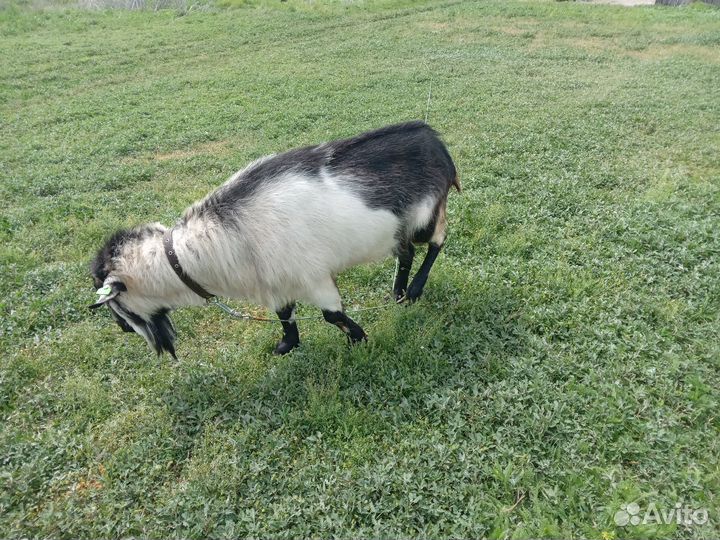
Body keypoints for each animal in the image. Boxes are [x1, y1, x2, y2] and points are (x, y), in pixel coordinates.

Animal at [89, 121, 459, 357]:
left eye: (116, 306)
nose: (123, 330)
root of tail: (434, 140)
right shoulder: (277, 278)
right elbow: (285, 314)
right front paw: (286, 346)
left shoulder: (313, 277)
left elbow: (331, 316)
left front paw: (360, 340)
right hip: (396, 228)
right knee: (406, 251)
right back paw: (398, 294)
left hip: (426, 214)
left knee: (438, 239)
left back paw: (414, 289)